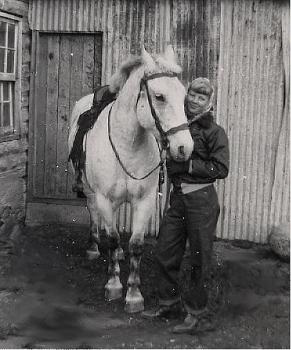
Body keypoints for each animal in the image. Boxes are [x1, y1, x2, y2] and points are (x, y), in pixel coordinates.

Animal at [69, 45, 194, 314]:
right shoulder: (105, 199)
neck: (128, 144)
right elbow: (114, 238)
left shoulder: (145, 202)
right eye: (159, 96)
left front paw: (134, 295)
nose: (184, 148)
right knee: (94, 215)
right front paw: (114, 285)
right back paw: (94, 247)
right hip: (91, 192)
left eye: (183, 96)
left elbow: (135, 245)